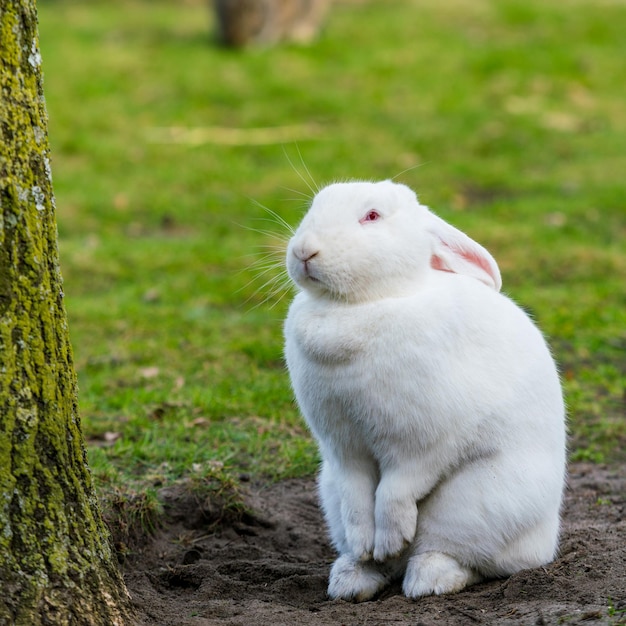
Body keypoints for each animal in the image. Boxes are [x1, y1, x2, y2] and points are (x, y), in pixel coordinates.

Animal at [282, 179, 564, 600]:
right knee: (379, 558)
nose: (304, 251)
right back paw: (353, 577)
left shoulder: (423, 444)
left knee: (462, 557)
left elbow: (397, 489)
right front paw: (368, 544)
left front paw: (389, 539)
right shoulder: (342, 449)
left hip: (476, 504)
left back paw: (426, 580)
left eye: (372, 216)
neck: (360, 305)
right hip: (328, 489)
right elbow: (357, 498)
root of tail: (546, 540)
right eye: (313, 207)